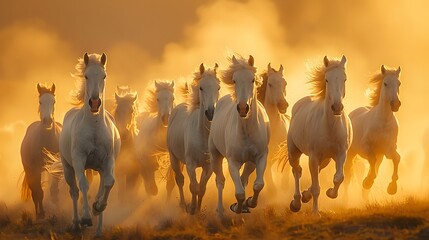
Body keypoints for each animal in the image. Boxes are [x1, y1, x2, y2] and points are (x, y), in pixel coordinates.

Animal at [20, 82, 61, 219]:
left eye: (53, 101)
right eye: (40, 101)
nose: (47, 121)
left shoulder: (56, 169)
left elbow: (54, 191)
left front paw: (56, 210)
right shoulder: (36, 169)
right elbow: (39, 192)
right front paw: (42, 213)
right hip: (30, 171)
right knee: (35, 191)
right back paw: (38, 213)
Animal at [58, 53, 120, 236]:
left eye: (104, 76)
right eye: (86, 76)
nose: (94, 102)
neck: (94, 129)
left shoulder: (108, 161)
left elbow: (109, 183)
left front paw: (97, 208)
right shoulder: (79, 160)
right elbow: (83, 185)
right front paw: (86, 218)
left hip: (99, 169)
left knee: (100, 188)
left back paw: (98, 229)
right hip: (68, 168)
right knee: (74, 191)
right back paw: (77, 223)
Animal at [167, 62, 221, 214]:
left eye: (218, 87)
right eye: (201, 87)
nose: (211, 112)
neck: (202, 135)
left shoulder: (208, 166)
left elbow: (201, 188)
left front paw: (198, 209)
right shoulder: (190, 165)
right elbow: (193, 187)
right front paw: (191, 208)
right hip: (173, 157)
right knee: (180, 180)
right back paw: (183, 204)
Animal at [207, 55, 268, 215]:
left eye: (252, 80)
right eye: (234, 80)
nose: (242, 108)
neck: (246, 131)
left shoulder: (260, 157)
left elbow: (258, 184)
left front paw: (250, 202)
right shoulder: (232, 161)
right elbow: (239, 193)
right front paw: (236, 207)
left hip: (250, 162)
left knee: (244, 178)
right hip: (215, 156)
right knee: (220, 181)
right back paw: (220, 210)